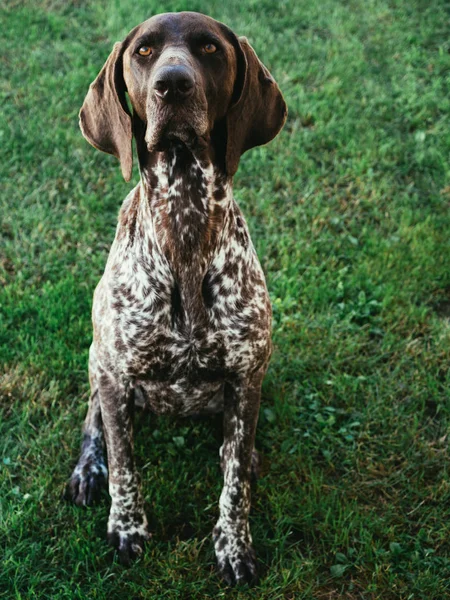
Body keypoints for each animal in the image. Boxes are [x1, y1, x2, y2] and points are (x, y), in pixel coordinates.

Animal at [65, 10, 286, 584]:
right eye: (143, 51)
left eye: (209, 48)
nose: (173, 84)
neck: (184, 219)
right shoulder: (115, 371)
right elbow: (124, 465)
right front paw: (127, 527)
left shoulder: (246, 376)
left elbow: (235, 484)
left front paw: (233, 547)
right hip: (97, 360)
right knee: (94, 419)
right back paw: (87, 469)